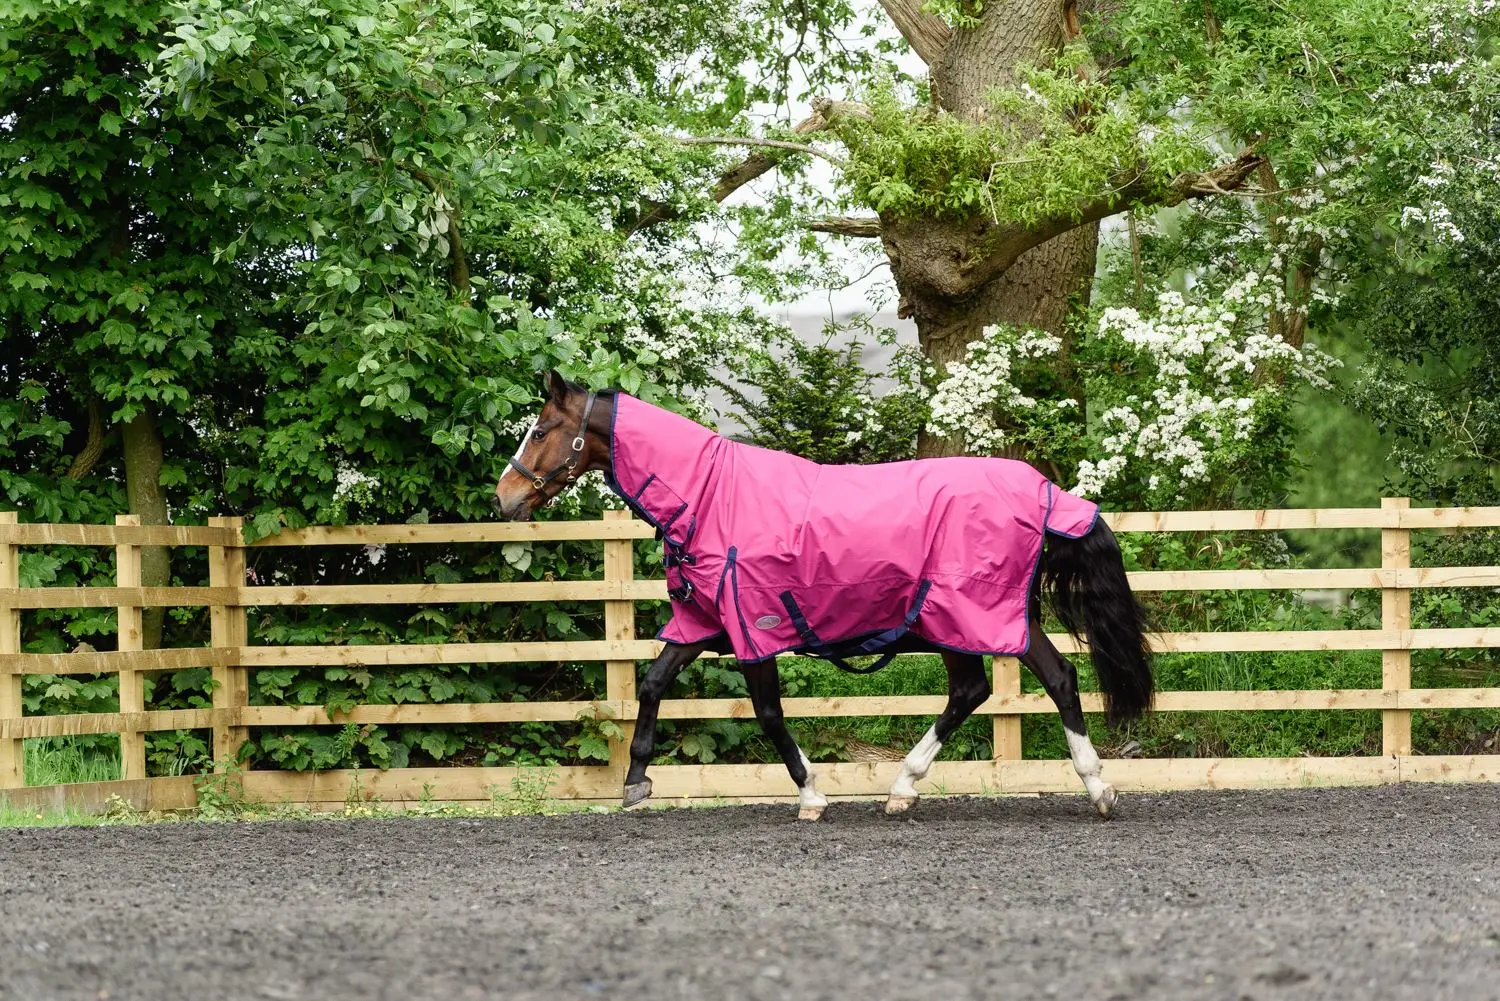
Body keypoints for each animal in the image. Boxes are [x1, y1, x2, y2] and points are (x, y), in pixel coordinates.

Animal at [493, 371, 1153, 821]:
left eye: (540, 430)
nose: (504, 499)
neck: (709, 495)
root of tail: (1044, 492)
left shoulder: (753, 628)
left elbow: (768, 714)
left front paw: (811, 793)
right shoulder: (706, 623)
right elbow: (653, 684)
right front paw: (636, 781)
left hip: (973, 614)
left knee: (1046, 680)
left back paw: (1096, 789)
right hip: (959, 622)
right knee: (982, 689)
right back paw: (905, 788)